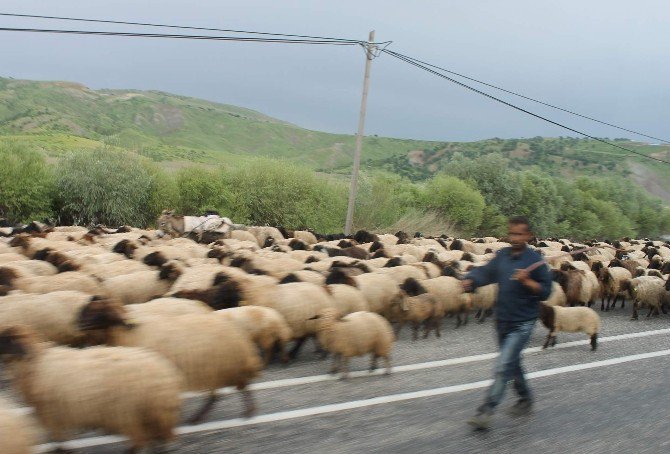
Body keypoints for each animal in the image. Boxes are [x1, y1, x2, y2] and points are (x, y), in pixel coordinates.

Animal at [0, 324, 184, 452]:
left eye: (6, 339)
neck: (36, 362)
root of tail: (163, 373)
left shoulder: (52, 412)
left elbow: (58, 436)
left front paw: (62, 449)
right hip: (148, 412)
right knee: (153, 437)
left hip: (130, 411)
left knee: (143, 438)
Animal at [78, 300, 262, 424]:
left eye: (101, 311)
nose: (80, 324)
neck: (128, 332)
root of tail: (239, 336)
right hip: (216, 368)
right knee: (219, 394)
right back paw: (198, 417)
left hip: (223, 366)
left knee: (238, 388)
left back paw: (247, 411)